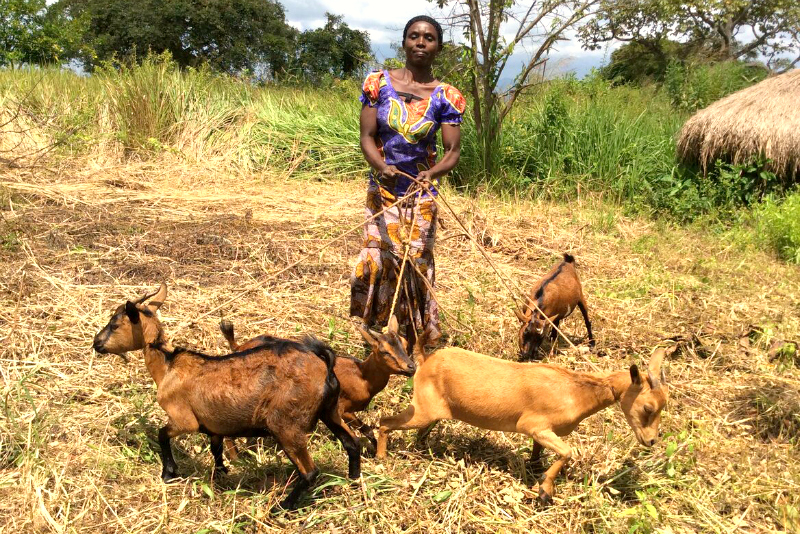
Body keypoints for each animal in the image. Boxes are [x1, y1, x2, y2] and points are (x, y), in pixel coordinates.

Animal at [90, 282, 360, 512]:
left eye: (114, 324)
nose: (96, 343)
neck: (168, 365)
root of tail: (323, 363)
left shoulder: (184, 418)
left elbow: (162, 434)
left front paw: (169, 473)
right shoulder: (214, 424)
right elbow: (215, 448)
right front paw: (221, 472)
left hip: (286, 423)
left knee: (310, 471)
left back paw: (282, 507)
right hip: (330, 410)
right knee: (352, 443)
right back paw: (355, 482)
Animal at [220, 316, 416, 454]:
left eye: (405, 343)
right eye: (384, 351)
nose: (411, 367)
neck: (362, 376)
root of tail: (238, 348)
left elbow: (367, 430)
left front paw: (374, 450)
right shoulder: (342, 408)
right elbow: (361, 431)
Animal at [378, 338, 664, 504]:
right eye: (648, 407)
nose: (651, 440)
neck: (576, 392)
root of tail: (426, 360)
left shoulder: (541, 432)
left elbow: (540, 453)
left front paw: (536, 471)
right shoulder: (534, 425)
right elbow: (568, 452)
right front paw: (545, 491)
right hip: (422, 410)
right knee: (384, 421)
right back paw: (381, 458)